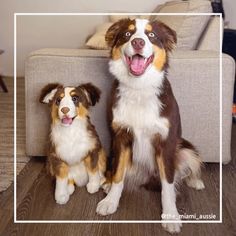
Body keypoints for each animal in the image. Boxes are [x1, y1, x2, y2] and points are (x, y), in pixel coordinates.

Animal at [96, 18, 205, 232]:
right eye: (127, 34)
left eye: (151, 35)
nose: (138, 42)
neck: (139, 88)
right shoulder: (121, 138)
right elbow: (119, 175)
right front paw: (111, 201)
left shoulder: (166, 142)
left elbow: (168, 184)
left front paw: (170, 215)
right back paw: (107, 183)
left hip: (185, 148)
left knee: (187, 168)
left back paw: (195, 181)